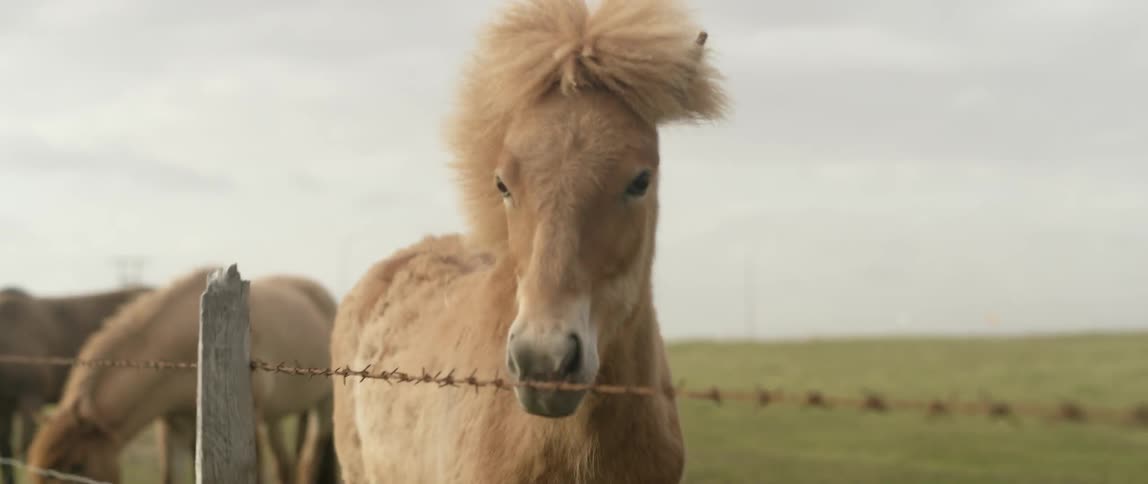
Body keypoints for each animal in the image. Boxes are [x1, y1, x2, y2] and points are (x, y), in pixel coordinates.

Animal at [25, 267, 340, 484]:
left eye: (76, 465)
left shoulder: (250, 419)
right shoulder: (173, 426)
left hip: (323, 407)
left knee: (311, 459)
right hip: (276, 417)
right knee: (286, 464)